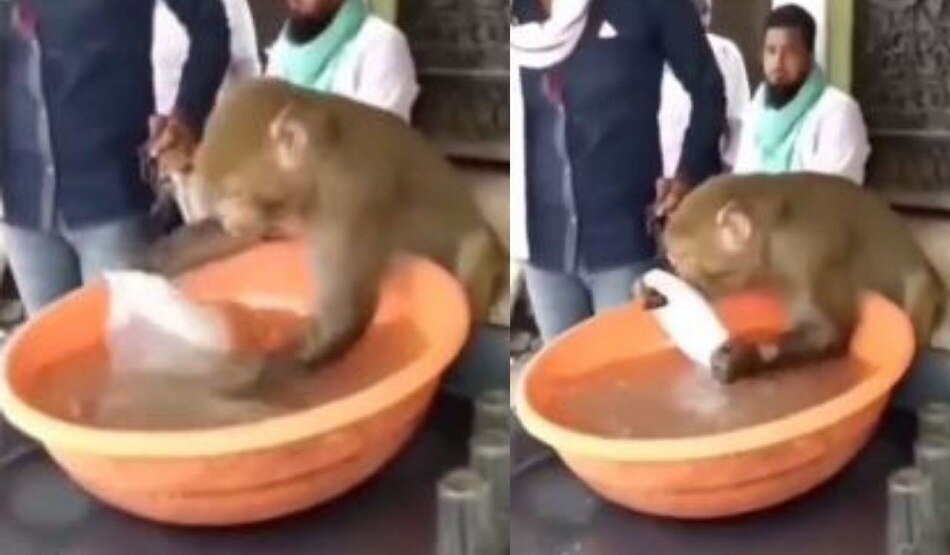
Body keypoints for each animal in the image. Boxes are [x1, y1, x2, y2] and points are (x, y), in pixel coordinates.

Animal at [144, 77, 508, 367]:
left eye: (237, 195)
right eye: (221, 205)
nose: (231, 221)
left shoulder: (351, 196)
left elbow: (346, 315)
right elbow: (244, 239)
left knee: (477, 247)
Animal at [635, 172, 947, 384]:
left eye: (681, 259)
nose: (676, 271)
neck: (771, 227)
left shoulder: (806, 253)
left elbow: (827, 331)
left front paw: (744, 357)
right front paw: (650, 291)